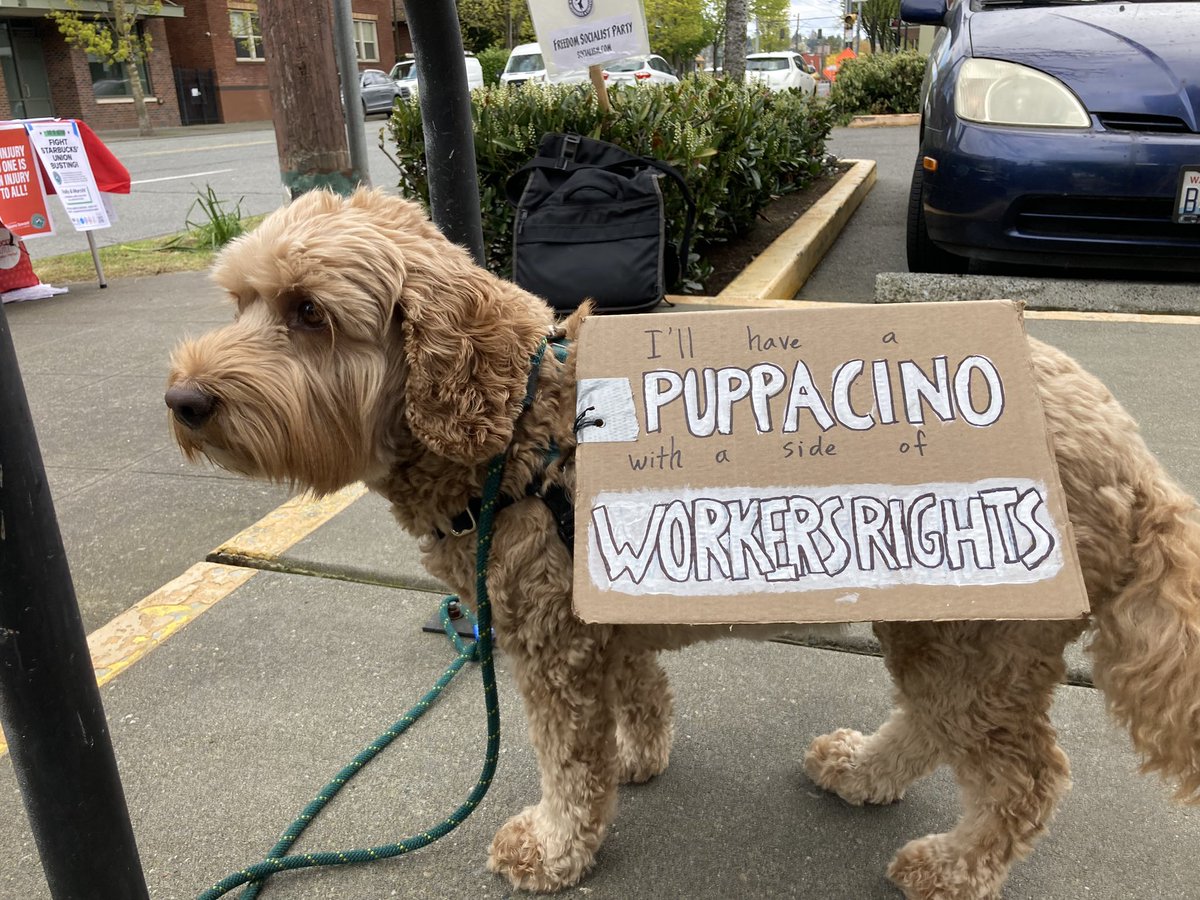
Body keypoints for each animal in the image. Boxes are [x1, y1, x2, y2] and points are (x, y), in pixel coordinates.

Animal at [166, 187, 1200, 897]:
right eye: (240, 302)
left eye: (307, 312)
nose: (183, 400)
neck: (515, 426)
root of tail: (1136, 463)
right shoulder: (600, 611)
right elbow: (636, 691)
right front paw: (639, 752)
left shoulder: (550, 641)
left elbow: (568, 761)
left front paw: (557, 845)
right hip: (947, 629)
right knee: (937, 726)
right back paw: (863, 771)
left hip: (979, 629)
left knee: (1023, 775)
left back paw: (953, 864)